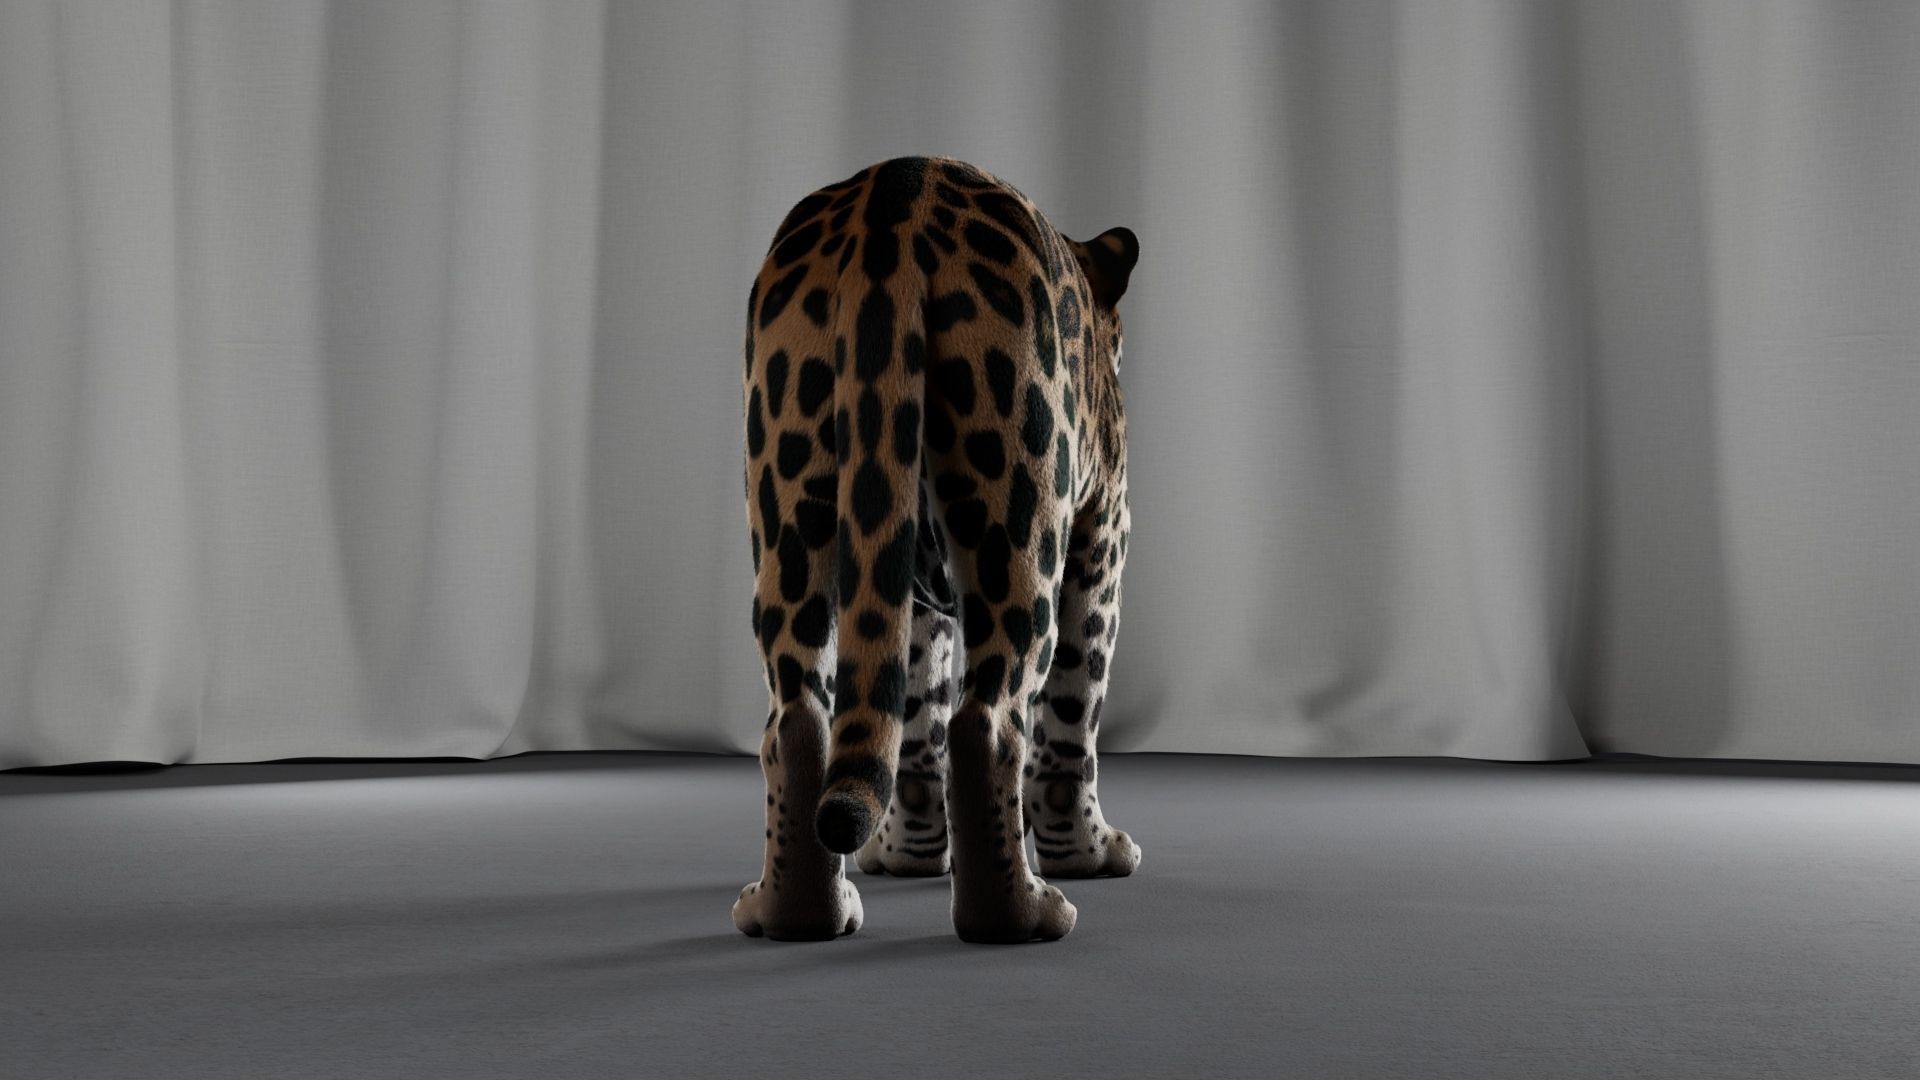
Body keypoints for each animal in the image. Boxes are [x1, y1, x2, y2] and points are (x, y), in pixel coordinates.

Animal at [731, 156, 1140, 944]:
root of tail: (892, 198)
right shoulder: (1104, 534)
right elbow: (1073, 714)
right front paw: (1087, 851)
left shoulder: (910, 588)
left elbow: (914, 711)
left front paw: (910, 853)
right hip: (1020, 521)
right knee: (988, 724)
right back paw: (1022, 914)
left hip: (791, 510)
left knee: (799, 720)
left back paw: (796, 913)